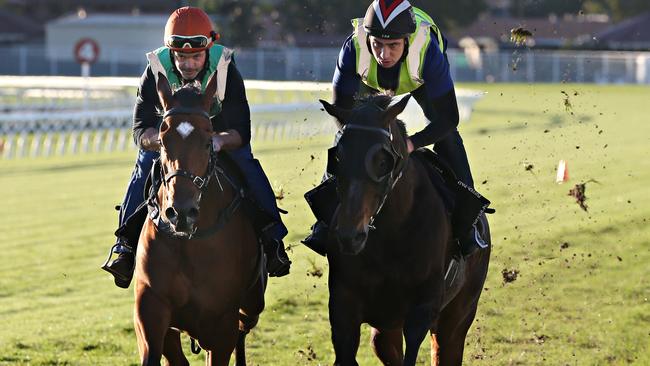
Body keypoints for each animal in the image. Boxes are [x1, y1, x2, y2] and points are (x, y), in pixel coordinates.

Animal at [133, 72, 264, 366]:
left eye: (207, 142)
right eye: (162, 141)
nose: (181, 212)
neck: (189, 243)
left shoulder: (223, 322)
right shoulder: (151, 307)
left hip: (252, 303)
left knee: (245, 327)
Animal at [318, 95, 492, 366]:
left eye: (383, 161)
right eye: (338, 158)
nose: (349, 235)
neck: (391, 234)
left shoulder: (423, 308)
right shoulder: (344, 305)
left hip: (457, 316)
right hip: (386, 329)